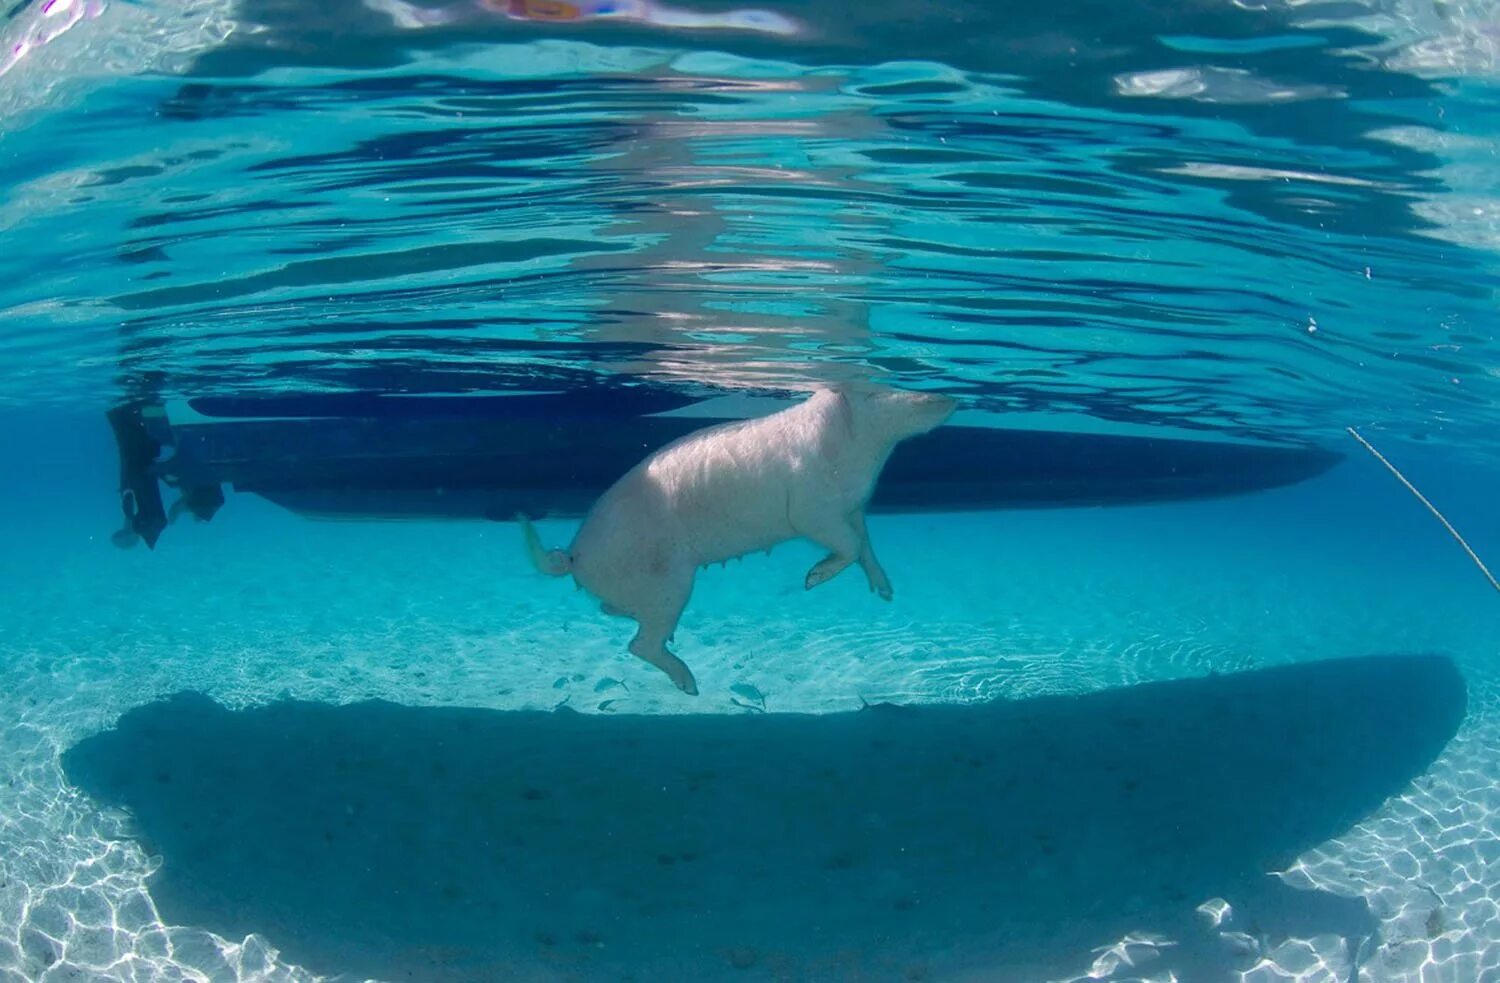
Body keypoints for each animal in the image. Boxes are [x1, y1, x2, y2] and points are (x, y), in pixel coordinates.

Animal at [522, 382, 954, 693]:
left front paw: (886, 594)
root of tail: (573, 555)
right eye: (876, 388)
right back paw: (691, 687)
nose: (949, 397)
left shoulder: (852, 508)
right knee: (640, 643)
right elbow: (846, 544)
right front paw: (811, 581)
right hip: (668, 582)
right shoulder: (811, 509)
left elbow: (864, 543)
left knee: (617, 614)